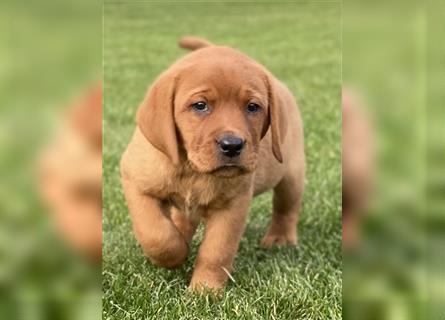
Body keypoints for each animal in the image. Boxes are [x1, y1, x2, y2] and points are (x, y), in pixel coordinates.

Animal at [119, 37, 304, 290]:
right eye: (200, 105)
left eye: (252, 107)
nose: (232, 145)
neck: (192, 169)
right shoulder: (135, 181)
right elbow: (156, 234)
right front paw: (175, 255)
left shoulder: (232, 206)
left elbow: (216, 252)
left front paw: (204, 291)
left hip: (291, 175)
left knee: (286, 209)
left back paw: (280, 239)